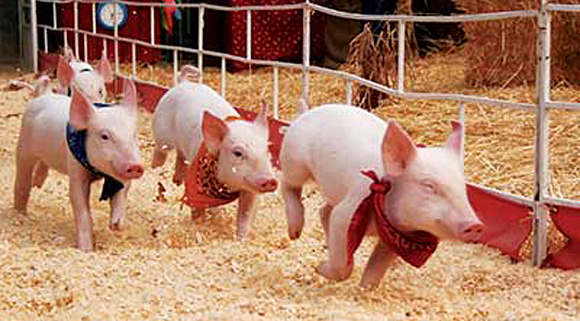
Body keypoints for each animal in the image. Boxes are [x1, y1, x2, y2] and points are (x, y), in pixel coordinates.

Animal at [13, 79, 143, 250]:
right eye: (104, 136)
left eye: (134, 135)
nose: (135, 166)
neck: (99, 172)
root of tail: (44, 95)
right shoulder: (75, 167)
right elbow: (78, 199)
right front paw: (86, 250)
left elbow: (122, 191)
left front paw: (116, 225)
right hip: (24, 145)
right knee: (23, 178)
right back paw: (20, 214)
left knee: (42, 166)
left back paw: (37, 185)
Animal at [152, 65, 278, 239]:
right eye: (238, 153)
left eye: (266, 150)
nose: (271, 180)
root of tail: (183, 83)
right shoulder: (195, 188)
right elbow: (197, 210)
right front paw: (199, 226)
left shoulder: (250, 191)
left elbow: (245, 214)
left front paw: (241, 239)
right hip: (162, 132)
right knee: (161, 151)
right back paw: (154, 168)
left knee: (180, 156)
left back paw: (176, 181)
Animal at [278, 105, 482, 288]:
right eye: (429, 186)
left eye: (462, 187)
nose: (476, 225)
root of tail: (306, 112)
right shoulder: (346, 213)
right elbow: (342, 265)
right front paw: (318, 268)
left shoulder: (396, 238)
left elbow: (376, 267)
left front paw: (365, 290)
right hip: (294, 162)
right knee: (287, 184)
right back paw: (294, 234)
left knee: (324, 211)